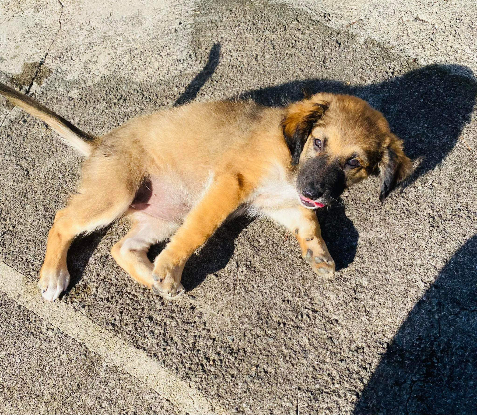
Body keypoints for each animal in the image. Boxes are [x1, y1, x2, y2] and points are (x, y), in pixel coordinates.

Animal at [0, 82, 411, 301]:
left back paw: (151, 278)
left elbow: (308, 219)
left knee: (122, 247)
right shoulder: (231, 183)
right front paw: (171, 267)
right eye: (319, 142)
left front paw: (318, 252)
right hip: (117, 192)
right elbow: (200, 230)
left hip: (165, 216)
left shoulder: (278, 202)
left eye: (354, 163)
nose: (315, 189)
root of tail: (99, 143)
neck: (290, 158)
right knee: (64, 220)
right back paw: (54, 275)